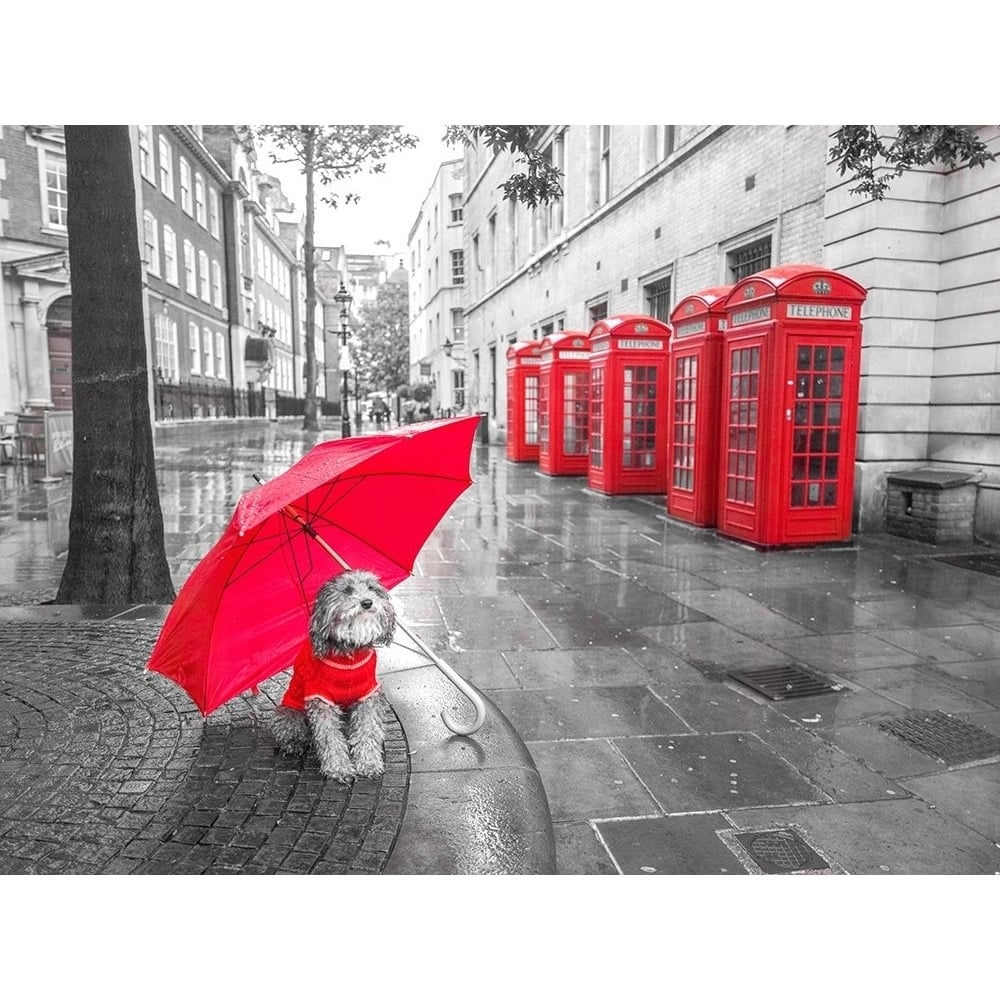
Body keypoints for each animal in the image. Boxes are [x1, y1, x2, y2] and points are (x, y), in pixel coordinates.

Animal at [276, 572, 400, 780]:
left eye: (371, 588)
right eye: (347, 590)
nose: (367, 602)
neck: (349, 655)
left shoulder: (367, 696)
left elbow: (367, 731)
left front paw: (369, 763)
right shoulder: (321, 700)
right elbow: (330, 738)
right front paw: (338, 768)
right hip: (289, 712)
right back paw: (293, 744)